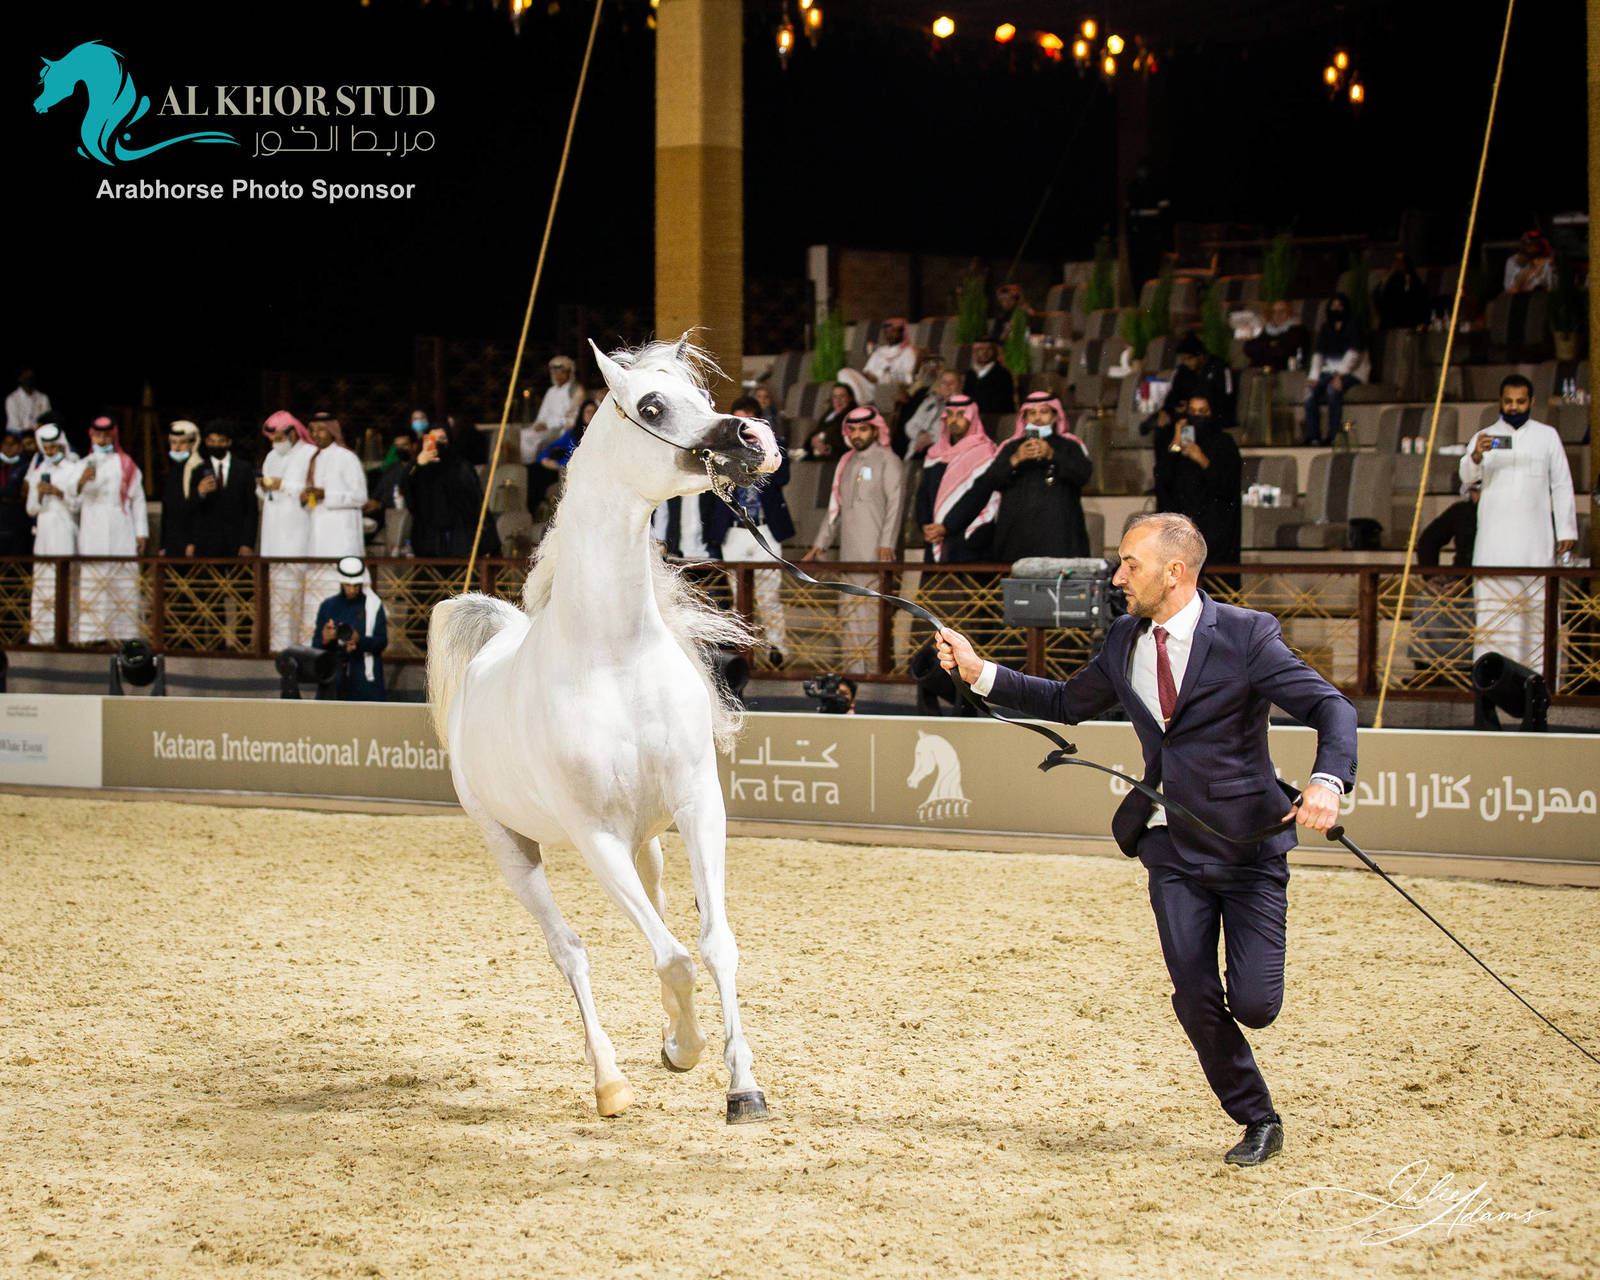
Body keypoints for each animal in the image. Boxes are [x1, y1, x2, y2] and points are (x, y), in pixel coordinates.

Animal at [427, 337, 781, 1124]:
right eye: (651, 406)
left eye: (701, 396)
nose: (754, 439)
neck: (613, 657)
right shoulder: (593, 837)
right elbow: (672, 954)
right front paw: (689, 1051)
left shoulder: (697, 805)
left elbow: (712, 945)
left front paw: (738, 1083)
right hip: (515, 851)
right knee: (571, 949)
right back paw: (610, 1081)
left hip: (647, 839)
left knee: (659, 921)